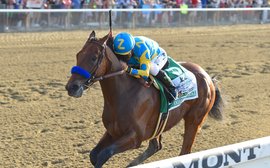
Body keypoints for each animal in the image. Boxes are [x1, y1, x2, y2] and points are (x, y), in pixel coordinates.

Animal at [65, 30, 224, 167]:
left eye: (93, 58)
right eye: (78, 55)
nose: (71, 87)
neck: (123, 95)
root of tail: (207, 76)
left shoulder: (135, 137)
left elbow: (104, 154)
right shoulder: (112, 132)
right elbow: (93, 155)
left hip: (194, 120)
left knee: (185, 152)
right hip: (160, 125)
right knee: (156, 146)